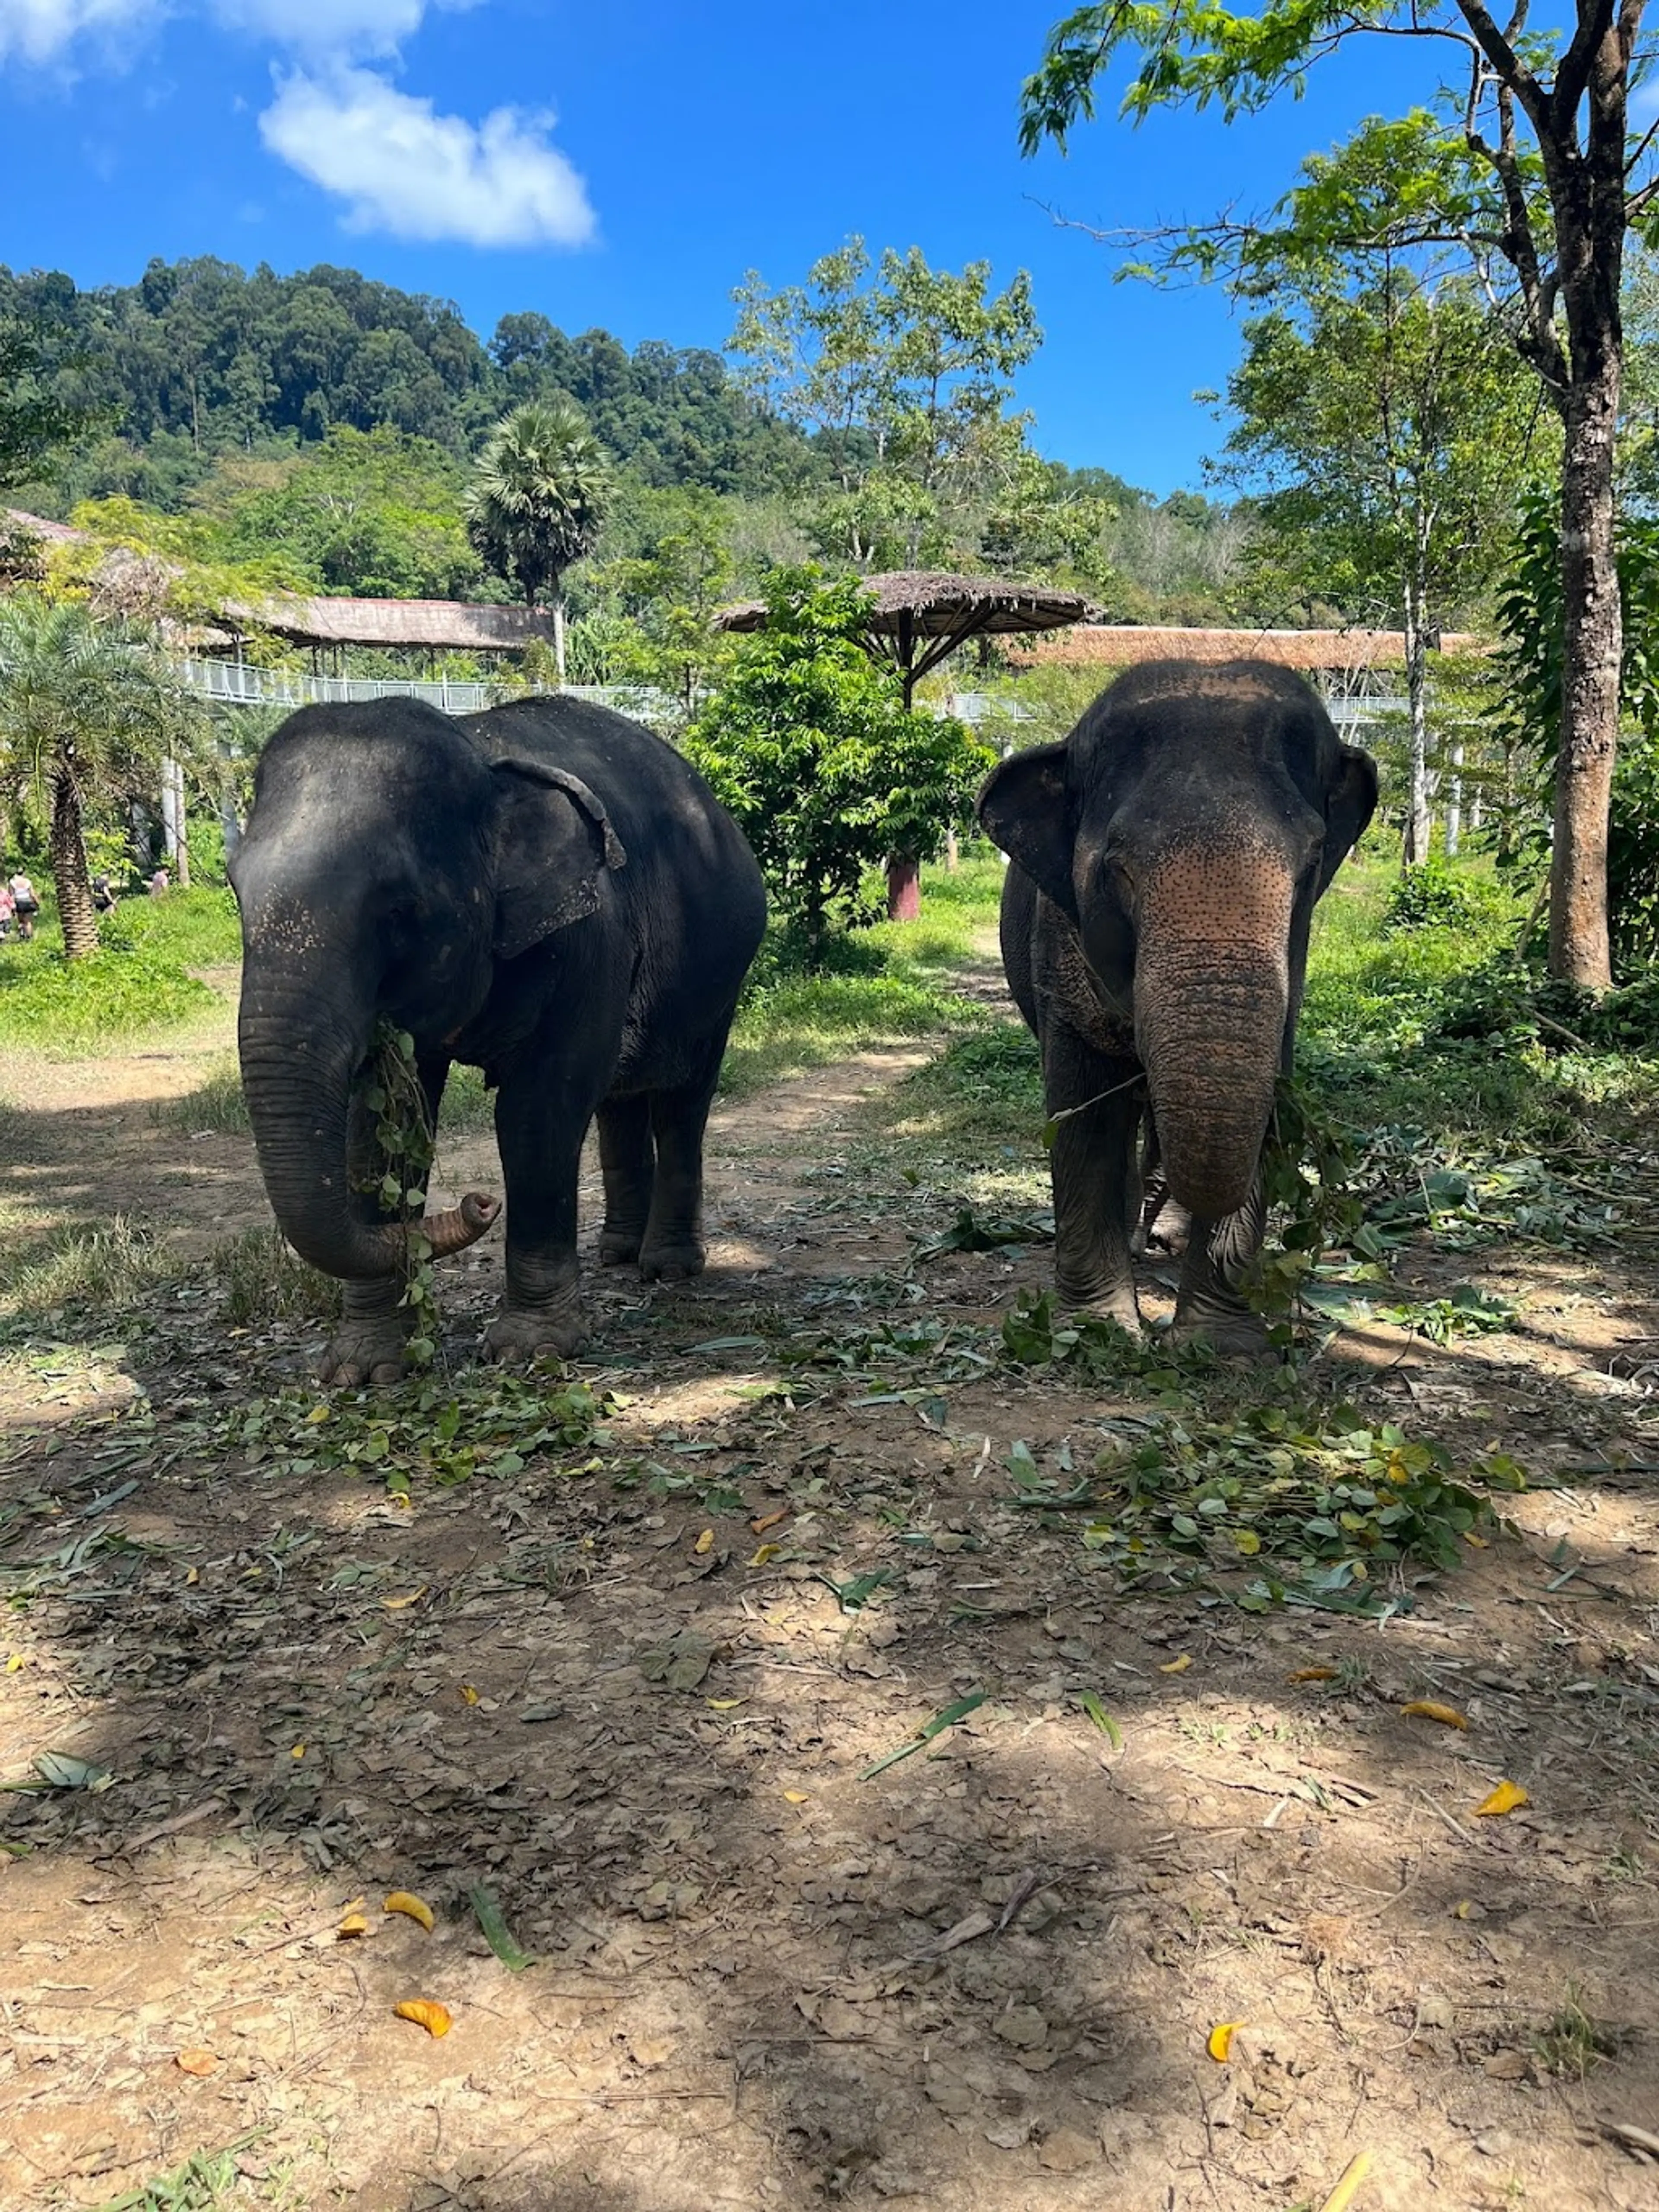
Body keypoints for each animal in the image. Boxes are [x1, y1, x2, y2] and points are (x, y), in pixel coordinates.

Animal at [231, 694, 769, 1380]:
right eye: (235, 891)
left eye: (399, 909)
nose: (480, 1203)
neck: (477, 752)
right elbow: (379, 1126)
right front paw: (364, 1367)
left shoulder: (593, 933)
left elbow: (539, 1110)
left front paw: (530, 1350)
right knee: (619, 1099)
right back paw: (617, 1253)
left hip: (720, 980)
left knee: (681, 1104)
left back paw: (668, 1267)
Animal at [982, 655, 1380, 1345]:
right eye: (1116, 870)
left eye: (1310, 865)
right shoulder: (1057, 951)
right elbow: (1084, 1109)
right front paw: (1102, 1331)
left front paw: (1218, 1342)